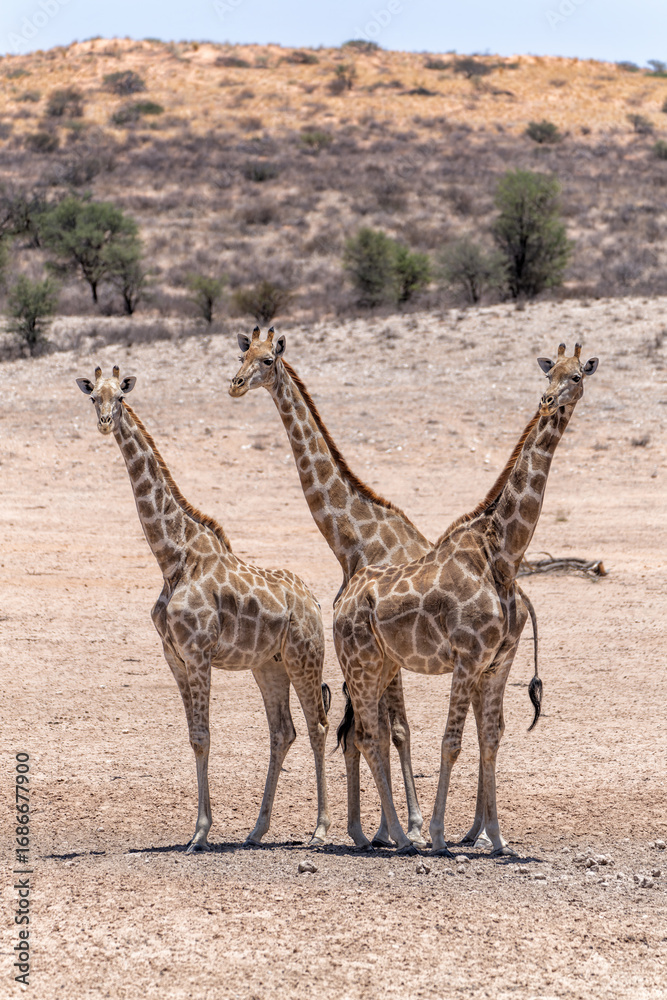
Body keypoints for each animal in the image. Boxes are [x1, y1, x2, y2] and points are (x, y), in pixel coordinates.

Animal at [76, 366, 331, 852]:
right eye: (92, 396)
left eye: (120, 396)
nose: (103, 422)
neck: (172, 557)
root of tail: (313, 600)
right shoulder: (173, 656)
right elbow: (194, 737)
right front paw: (199, 830)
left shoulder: (198, 653)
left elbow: (205, 737)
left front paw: (200, 833)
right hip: (268, 664)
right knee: (283, 731)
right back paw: (256, 830)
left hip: (304, 657)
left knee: (318, 726)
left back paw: (321, 829)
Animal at [331, 343, 598, 854]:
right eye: (550, 372)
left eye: (576, 376)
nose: (548, 401)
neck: (504, 554)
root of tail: (341, 600)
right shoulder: (467, 657)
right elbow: (450, 742)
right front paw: (438, 835)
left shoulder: (499, 662)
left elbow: (490, 738)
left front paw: (497, 839)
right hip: (361, 664)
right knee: (369, 736)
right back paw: (403, 837)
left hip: (382, 663)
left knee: (367, 735)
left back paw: (393, 834)